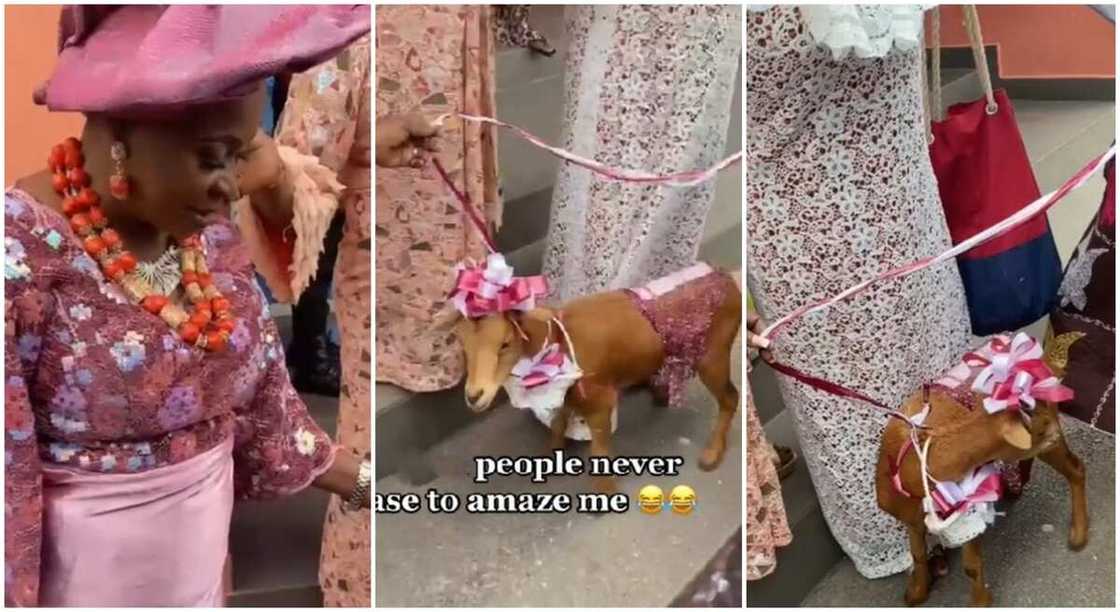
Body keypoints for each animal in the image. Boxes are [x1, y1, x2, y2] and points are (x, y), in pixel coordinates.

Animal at [445, 266, 743, 490]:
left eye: (505, 343)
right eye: (462, 342)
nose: (474, 395)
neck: (558, 340)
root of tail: (727, 277)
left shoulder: (601, 399)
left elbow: (598, 447)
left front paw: (604, 492)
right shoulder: (567, 392)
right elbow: (558, 421)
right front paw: (550, 453)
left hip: (713, 356)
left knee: (731, 397)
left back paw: (711, 453)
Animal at [873, 349, 1084, 600]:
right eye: (1039, 429)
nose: (1055, 432)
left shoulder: (968, 507)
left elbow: (971, 566)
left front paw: (981, 602)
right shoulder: (909, 516)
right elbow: (917, 554)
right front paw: (917, 594)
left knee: (1076, 468)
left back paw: (1078, 535)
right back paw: (1017, 484)